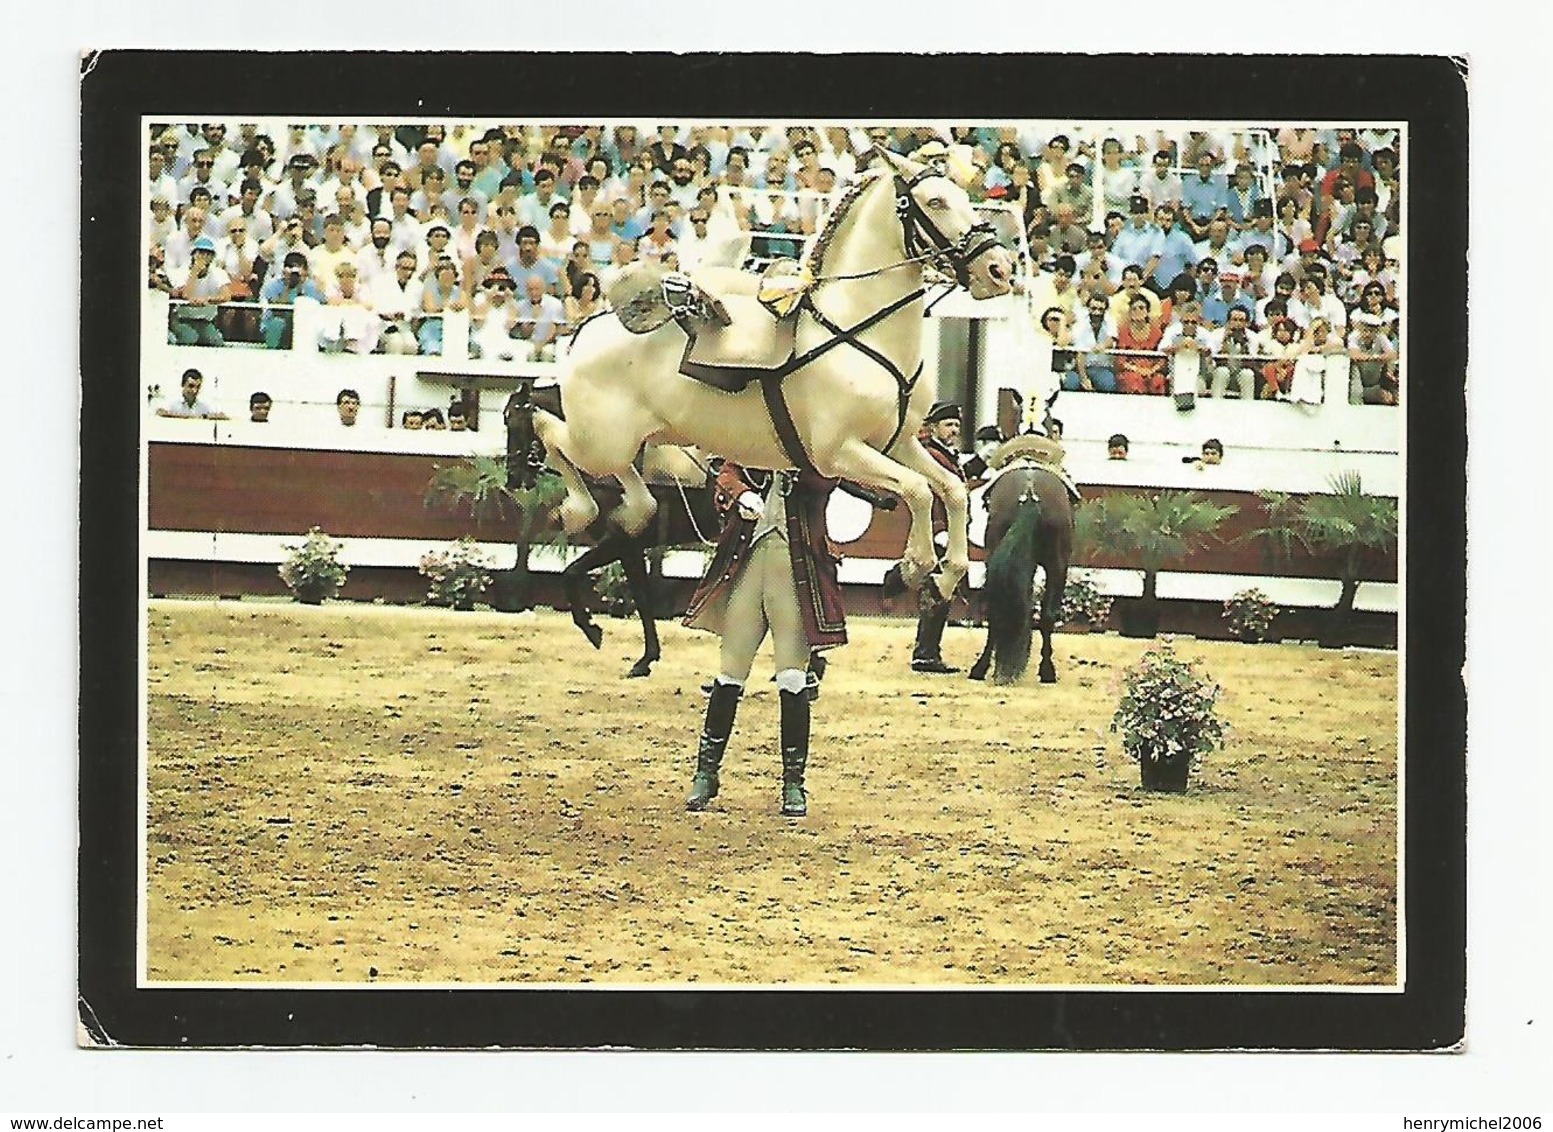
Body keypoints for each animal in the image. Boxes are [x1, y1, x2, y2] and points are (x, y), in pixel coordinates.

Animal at [506, 383, 717, 677]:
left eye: (511, 420)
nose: (512, 477)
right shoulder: (630, 548)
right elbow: (641, 597)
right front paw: (647, 658)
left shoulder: (620, 542)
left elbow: (572, 574)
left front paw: (593, 630)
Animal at [534, 149, 1018, 599]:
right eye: (935, 201)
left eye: (966, 198)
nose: (999, 270)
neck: (856, 329)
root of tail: (586, 329)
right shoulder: (839, 452)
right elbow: (918, 491)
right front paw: (914, 567)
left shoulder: (897, 443)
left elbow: (952, 489)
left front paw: (947, 575)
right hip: (601, 442)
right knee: (549, 431)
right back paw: (578, 510)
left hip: (643, 439)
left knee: (630, 480)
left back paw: (633, 510)